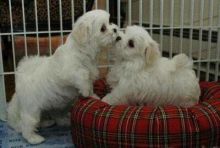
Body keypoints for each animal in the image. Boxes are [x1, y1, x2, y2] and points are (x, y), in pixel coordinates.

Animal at [7, 9, 119, 144]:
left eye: (110, 22)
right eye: (103, 28)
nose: (115, 29)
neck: (81, 50)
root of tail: (22, 78)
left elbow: (89, 82)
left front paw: (93, 96)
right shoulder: (69, 71)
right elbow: (82, 75)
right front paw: (86, 92)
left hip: (56, 105)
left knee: (55, 116)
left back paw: (54, 122)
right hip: (32, 108)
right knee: (28, 123)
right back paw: (34, 138)